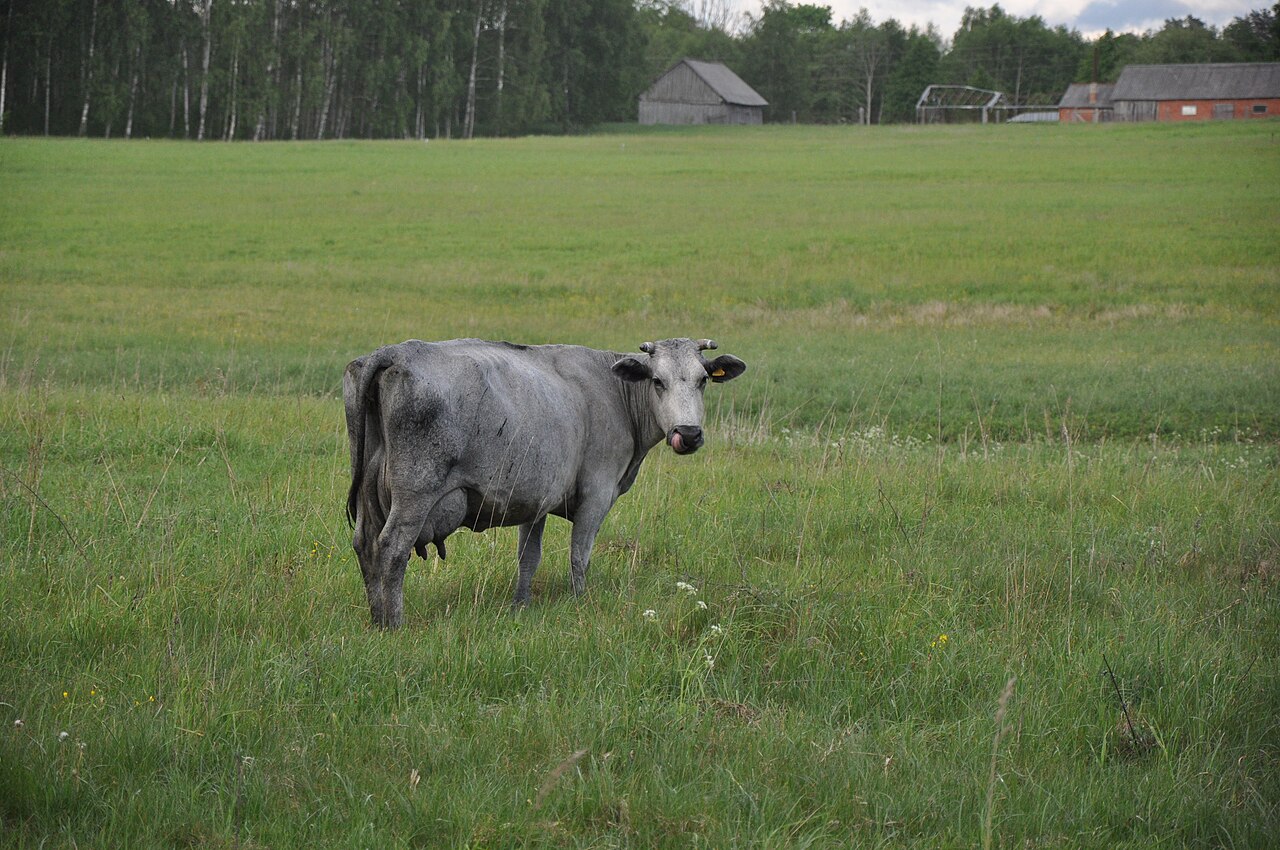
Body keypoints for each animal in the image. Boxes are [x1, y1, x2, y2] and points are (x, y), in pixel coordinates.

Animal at [343, 337, 746, 629]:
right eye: (657, 381)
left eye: (703, 380)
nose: (688, 434)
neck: (614, 391)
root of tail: (396, 352)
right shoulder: (597, 495)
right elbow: (579, 557)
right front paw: (580, 602)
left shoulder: (535, 500)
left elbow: (528, 558)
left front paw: (520, 606)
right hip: (415, 493)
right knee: (391, 549)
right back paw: (394, 624)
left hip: (368, 497)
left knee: (364, 544)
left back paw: (376, 618)